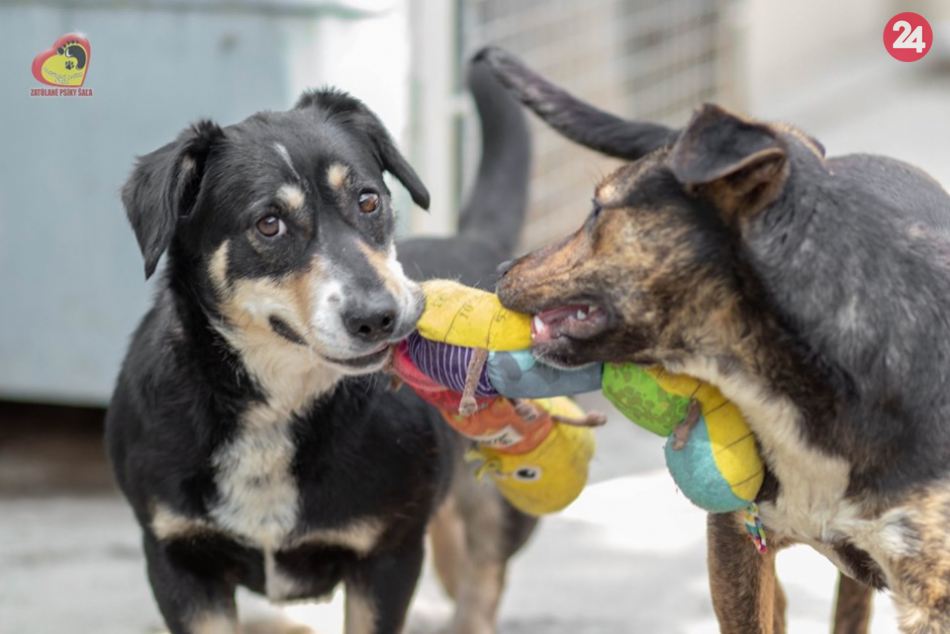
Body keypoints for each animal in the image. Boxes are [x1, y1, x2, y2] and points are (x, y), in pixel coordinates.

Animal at [106, 55, 536, 632]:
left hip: (508, 492)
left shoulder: (388, 556)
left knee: (484, 575)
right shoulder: (178, 561)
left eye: (369, 199)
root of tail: (474, 240)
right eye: (269, 224)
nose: (380, 317)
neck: (277, 407)